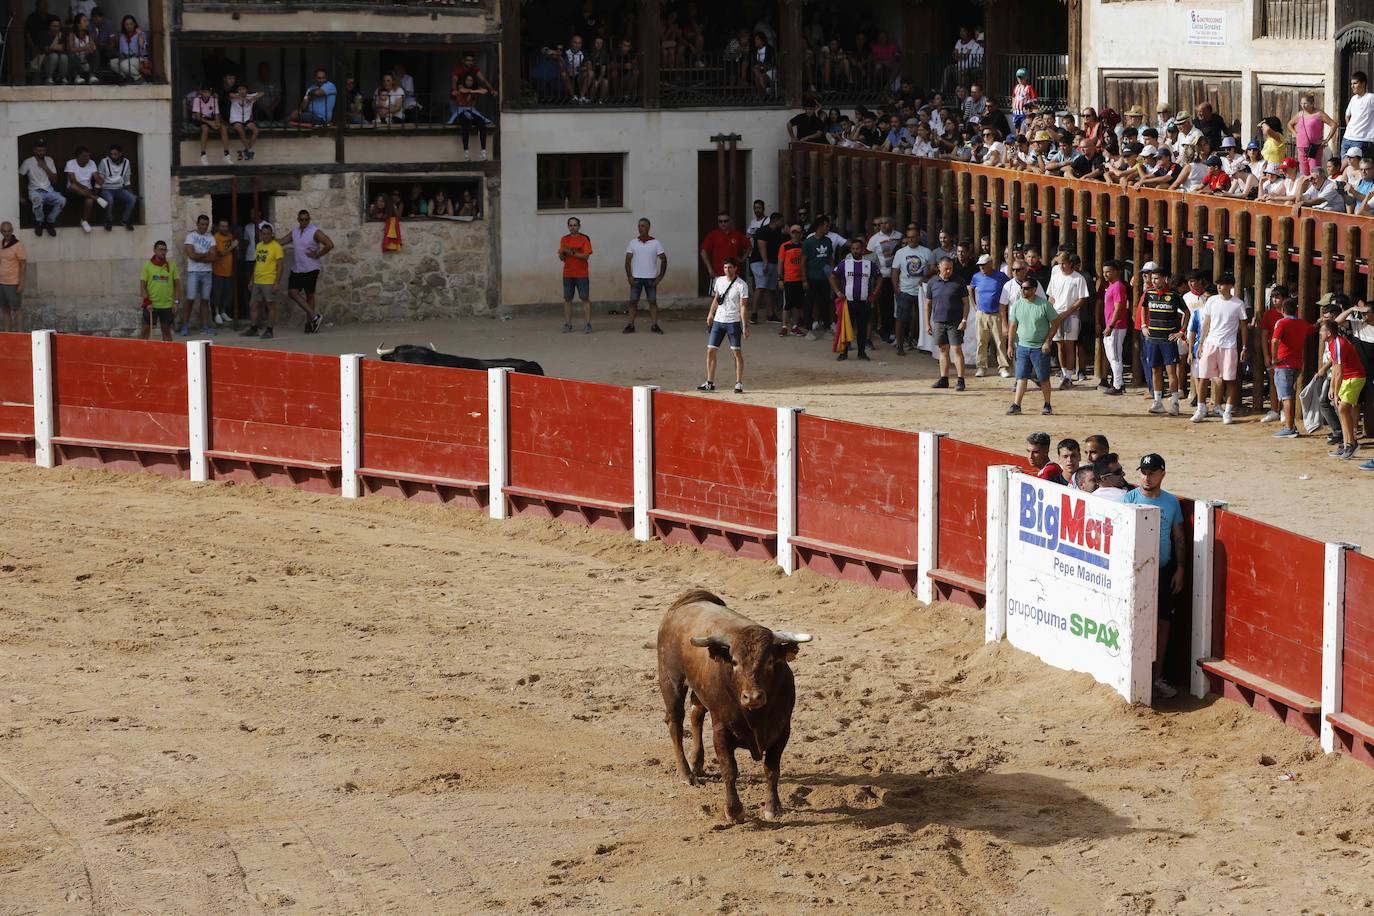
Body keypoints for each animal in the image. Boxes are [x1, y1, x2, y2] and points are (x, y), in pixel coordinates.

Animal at [651, 590, 802, 829]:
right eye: (735, 661)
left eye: (770, 661)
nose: (753, 697)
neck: (755, 716)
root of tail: (687, 601)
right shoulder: (721, 730)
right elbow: (729, 769)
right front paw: (733, 811)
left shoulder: (782, 730)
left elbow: (772, 769)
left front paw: (773, 808)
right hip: (670, 680)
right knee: (675, 722)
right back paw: (686, 774)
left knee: (696, 713)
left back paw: (696, 763)